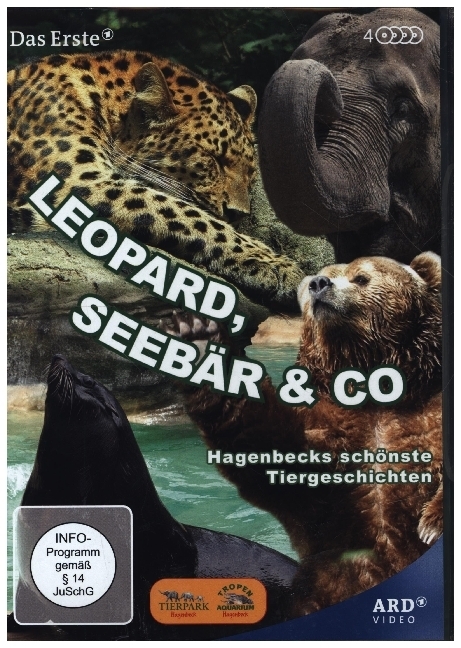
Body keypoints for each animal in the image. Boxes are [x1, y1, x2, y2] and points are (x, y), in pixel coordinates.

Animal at [7, 50, 305, 311]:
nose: (239, 214)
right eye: (214, 159)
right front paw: (276, 264)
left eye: (251, 172)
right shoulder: (78, 182)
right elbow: (190, 215)